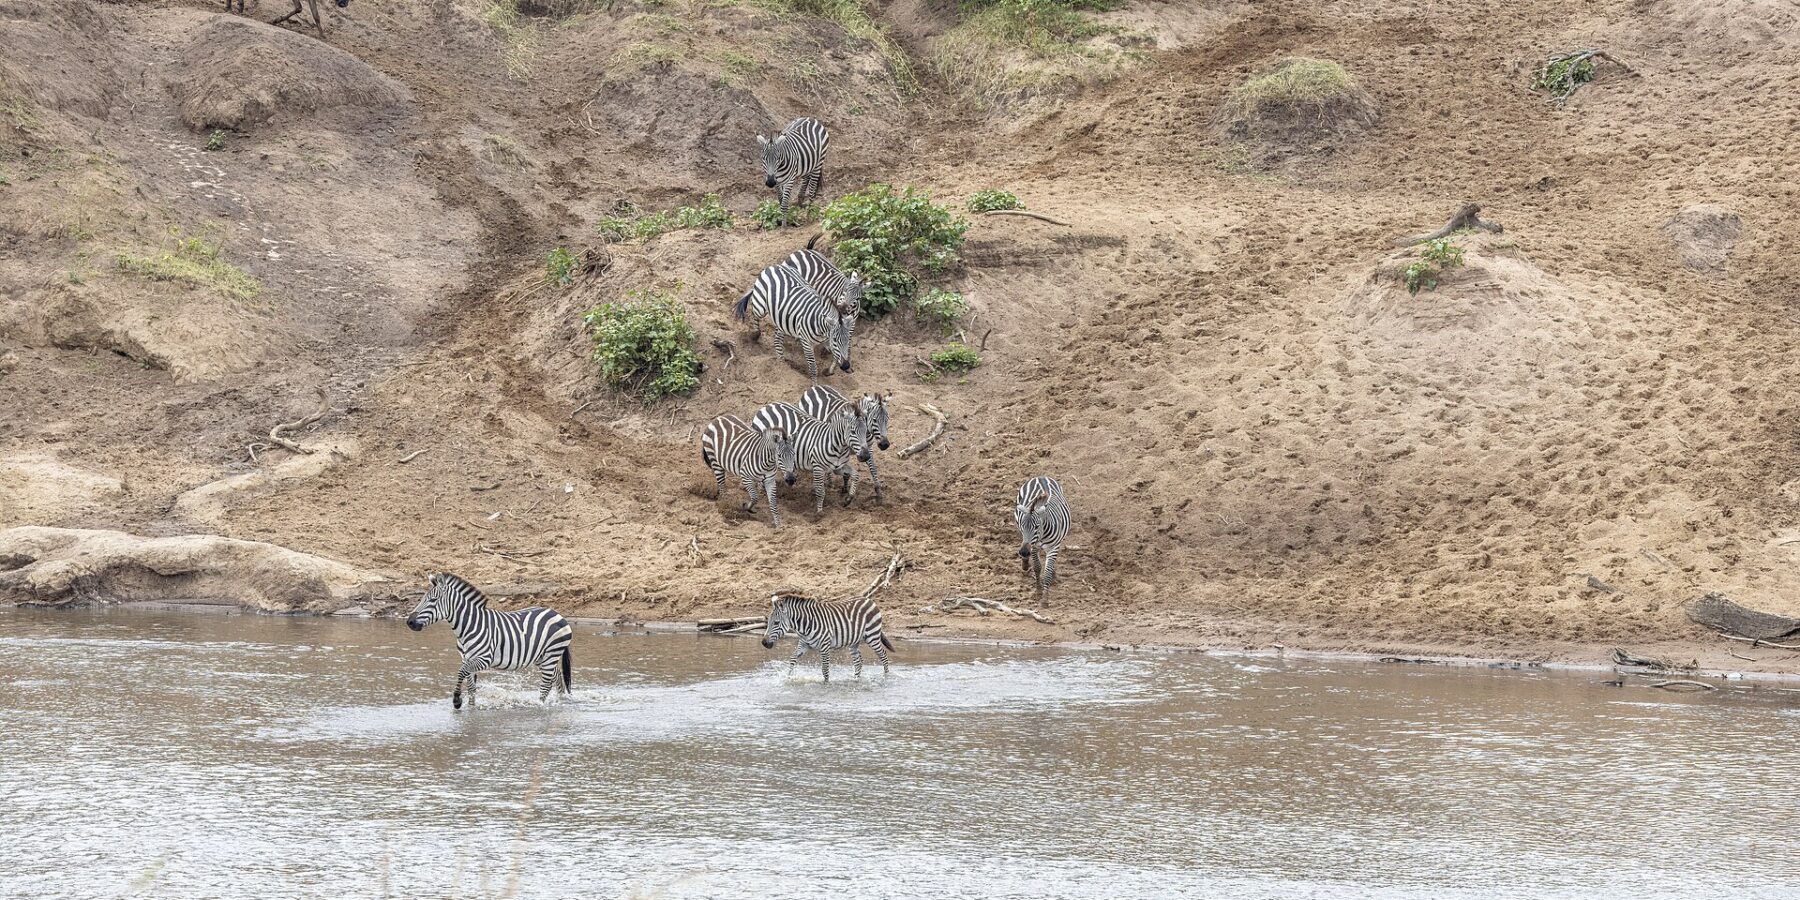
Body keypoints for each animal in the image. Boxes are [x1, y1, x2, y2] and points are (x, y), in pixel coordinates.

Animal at [405, 572, 574, 710]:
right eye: (422, 599)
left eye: (433, 600)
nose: (410, 622)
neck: (468, 627)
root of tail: (556, 613)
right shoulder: (466, 658)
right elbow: (471, 686)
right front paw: (471, 707)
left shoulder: (484, 659)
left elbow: (461, 672)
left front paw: (457, 700)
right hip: (542, 657)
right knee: (557, 676)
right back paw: (560, 701)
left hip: (551, 654)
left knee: (546, 684)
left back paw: (539, 705)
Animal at [761, 591, 894, 681]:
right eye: (768, 621)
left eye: (776, 623)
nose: (764, 643)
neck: (805, 625)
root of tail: (868, 600)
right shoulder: (804, 644)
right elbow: (792, 659)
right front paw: (788, 677)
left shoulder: (825, 646)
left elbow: (825, 670)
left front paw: (826, 684)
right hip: (853, 642)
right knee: (858, 662)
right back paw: (855, 679)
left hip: (872, 636)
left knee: (883, 655)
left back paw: (886, 677)